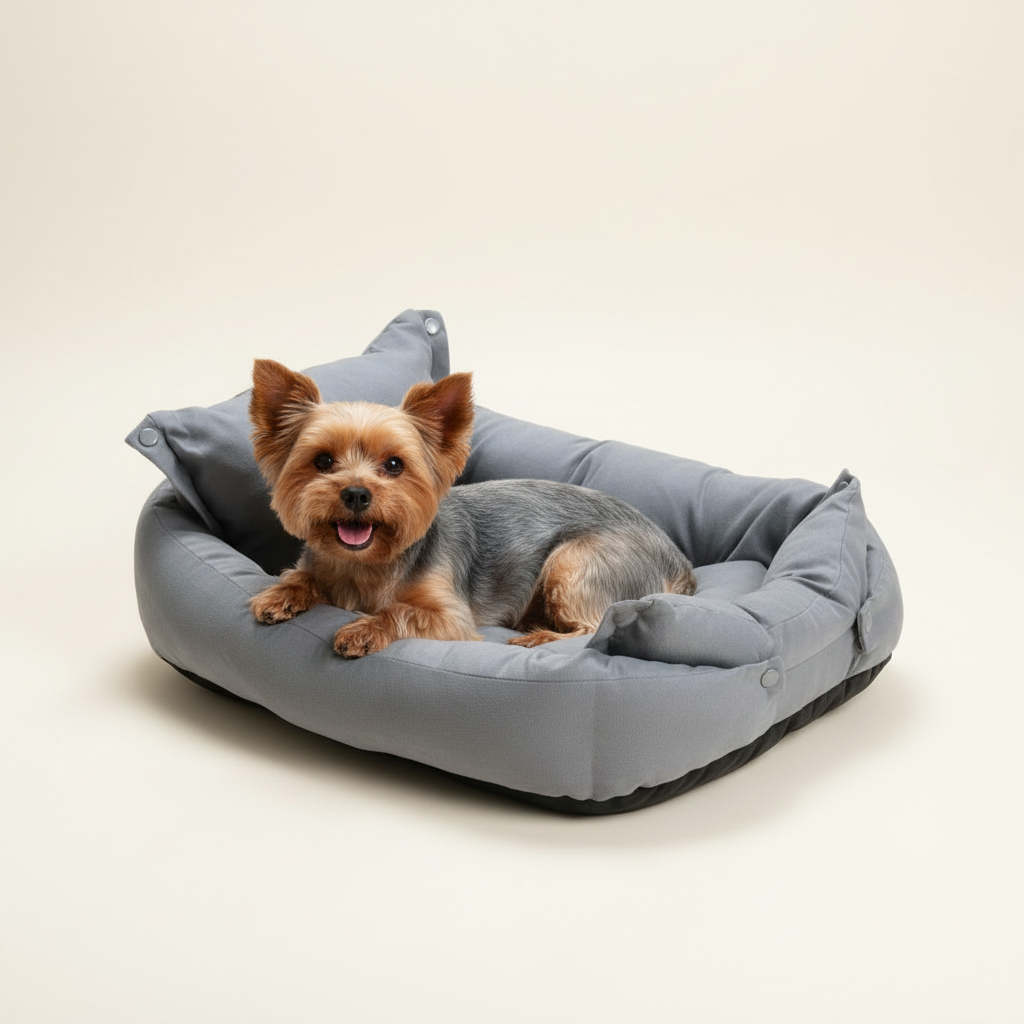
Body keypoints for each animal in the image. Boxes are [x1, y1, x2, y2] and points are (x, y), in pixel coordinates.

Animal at [247, 360, 697, 657]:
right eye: (322, 461)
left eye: (394, 465)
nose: (356, 493)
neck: (368, 564)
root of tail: (681, 564)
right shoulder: (321, 565)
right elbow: (300, 576)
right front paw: (279, 595)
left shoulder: (451, 618)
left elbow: (399, 612)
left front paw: (362, 630)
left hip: (574, 563)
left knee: (592, 627)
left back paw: (540, 636)